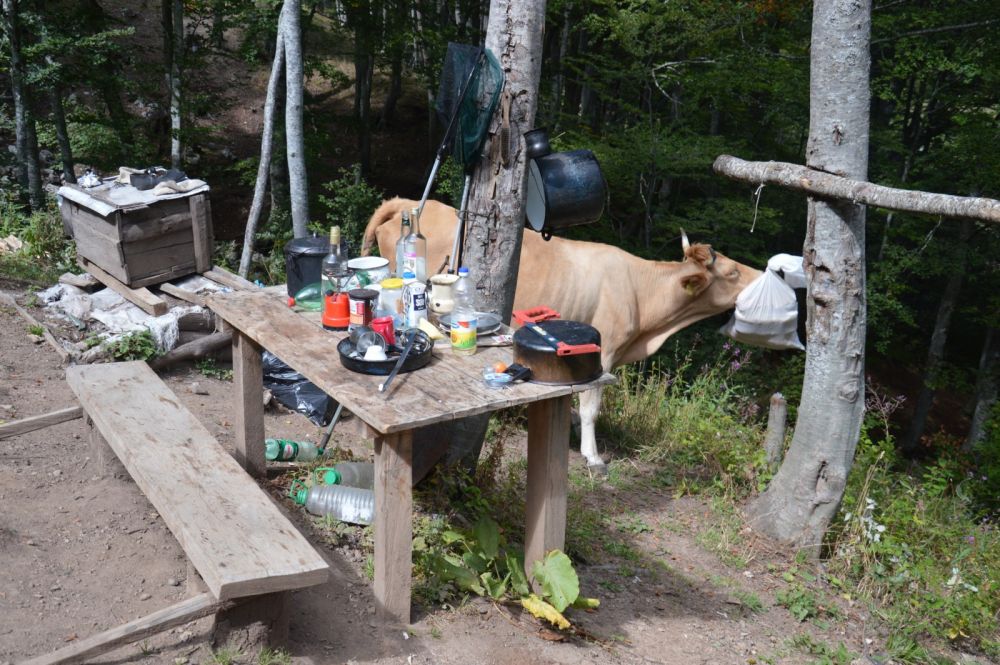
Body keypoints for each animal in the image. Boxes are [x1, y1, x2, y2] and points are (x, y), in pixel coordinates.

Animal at [360, 200, 756, 470]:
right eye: (733, 272)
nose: (760, 275)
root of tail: (406, 203)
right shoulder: (605, 348)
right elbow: (593, 406)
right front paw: (593, 455)